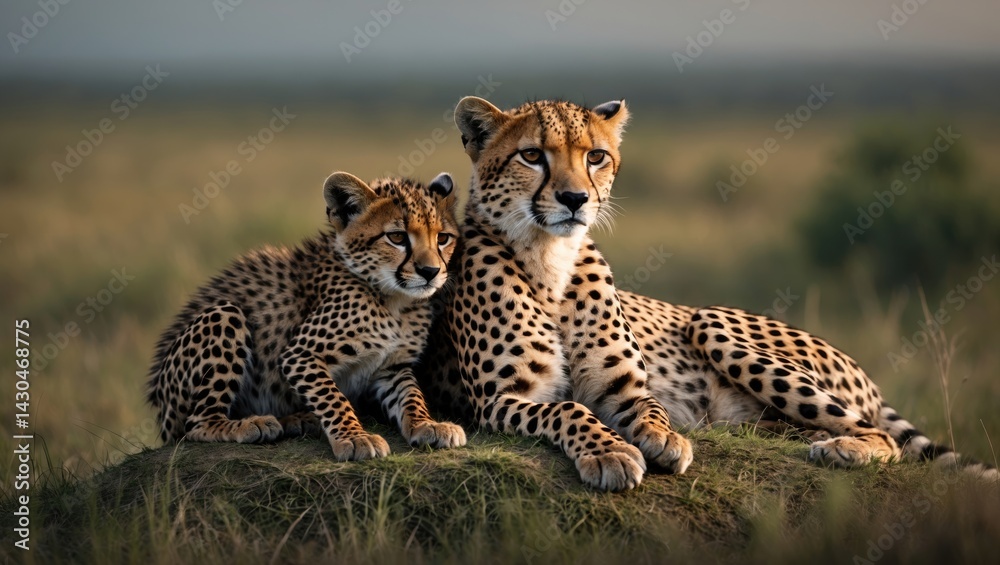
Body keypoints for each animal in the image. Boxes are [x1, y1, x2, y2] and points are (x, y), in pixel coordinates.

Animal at [147, 171, 466, 461]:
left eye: (443, 238)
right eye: (397, 237)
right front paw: (355, 438)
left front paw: (426, 424)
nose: (431, 272)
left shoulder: (392, 366)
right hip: (224, 314)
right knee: (195, 424)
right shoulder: (299, 355)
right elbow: (332, 398)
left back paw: (295, 420)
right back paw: (251, 424)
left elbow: (411, 396)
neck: (395, 299)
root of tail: (159, 406)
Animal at [417, 96, 997, 490]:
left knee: (883, 437)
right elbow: (568, 411)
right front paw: (610, 453)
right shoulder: (503, 400)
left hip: (710, 321)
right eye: (533, 155)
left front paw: (664, 437)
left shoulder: (622, 388)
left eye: (596, 156)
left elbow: (648, 405)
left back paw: (841, 449)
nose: (575, 199)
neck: (549, 261)